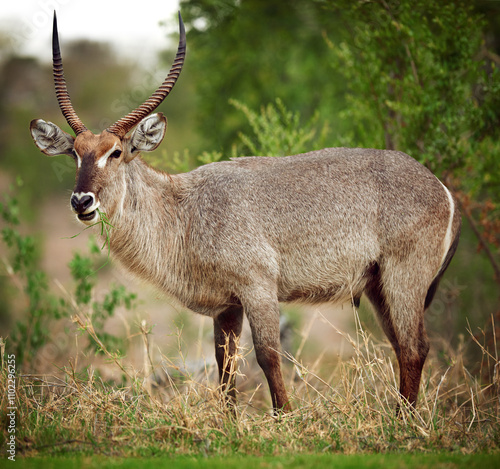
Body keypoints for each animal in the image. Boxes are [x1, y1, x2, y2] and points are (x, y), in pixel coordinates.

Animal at [31, 11, 460, 414]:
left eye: (116, 152)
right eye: (75, 153)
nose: (81, 201)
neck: (185, 211)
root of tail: (440, 187)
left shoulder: (258, 288)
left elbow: (268, 357)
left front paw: (284, 420)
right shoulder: (227, 305)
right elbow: (225, 369)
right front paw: (230, 426)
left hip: (404, 278)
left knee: (414, 347)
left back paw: (404, 423)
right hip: (377, 287)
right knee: (403, 347)